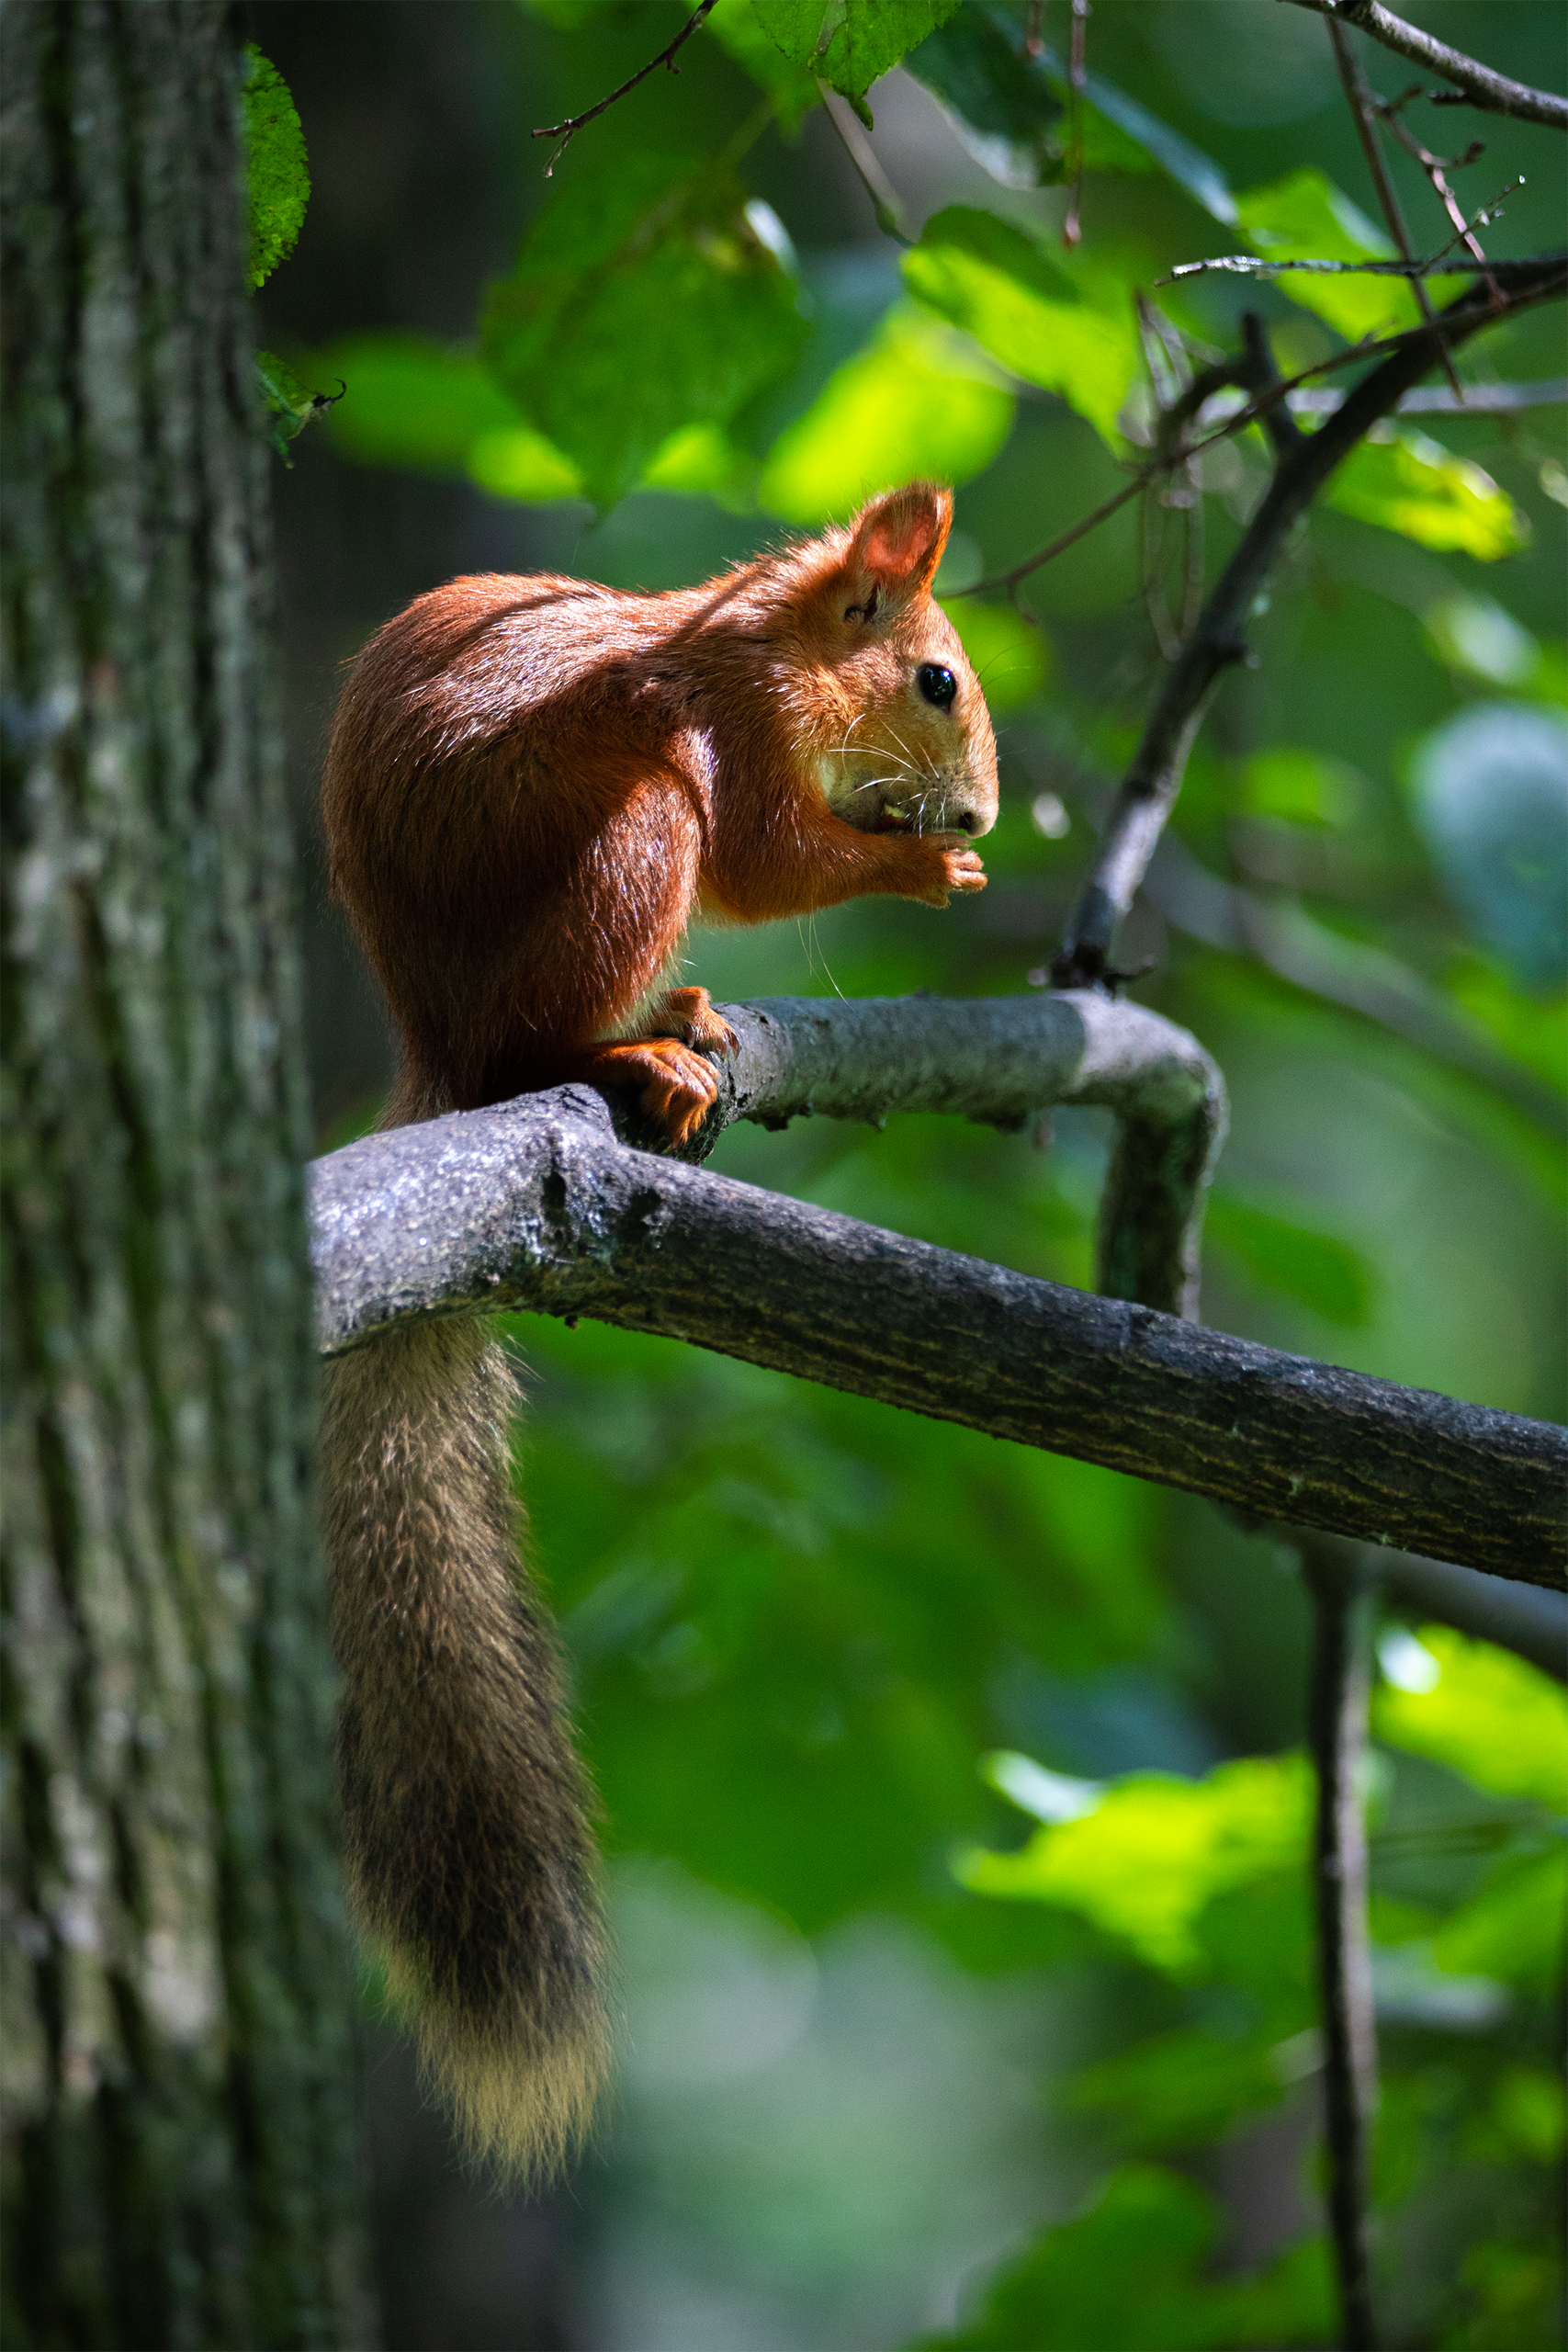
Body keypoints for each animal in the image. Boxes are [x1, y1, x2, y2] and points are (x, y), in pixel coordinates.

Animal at [317, 481, 1001, 2182]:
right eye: (936, 681)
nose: (972, 822)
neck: (751, 642)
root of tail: (436, 1055)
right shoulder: (730, 736)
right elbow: (762, 861)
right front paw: (918, 880)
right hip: (628, 838)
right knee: (555, 1016)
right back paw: (632, 1048)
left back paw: (678, 1020)